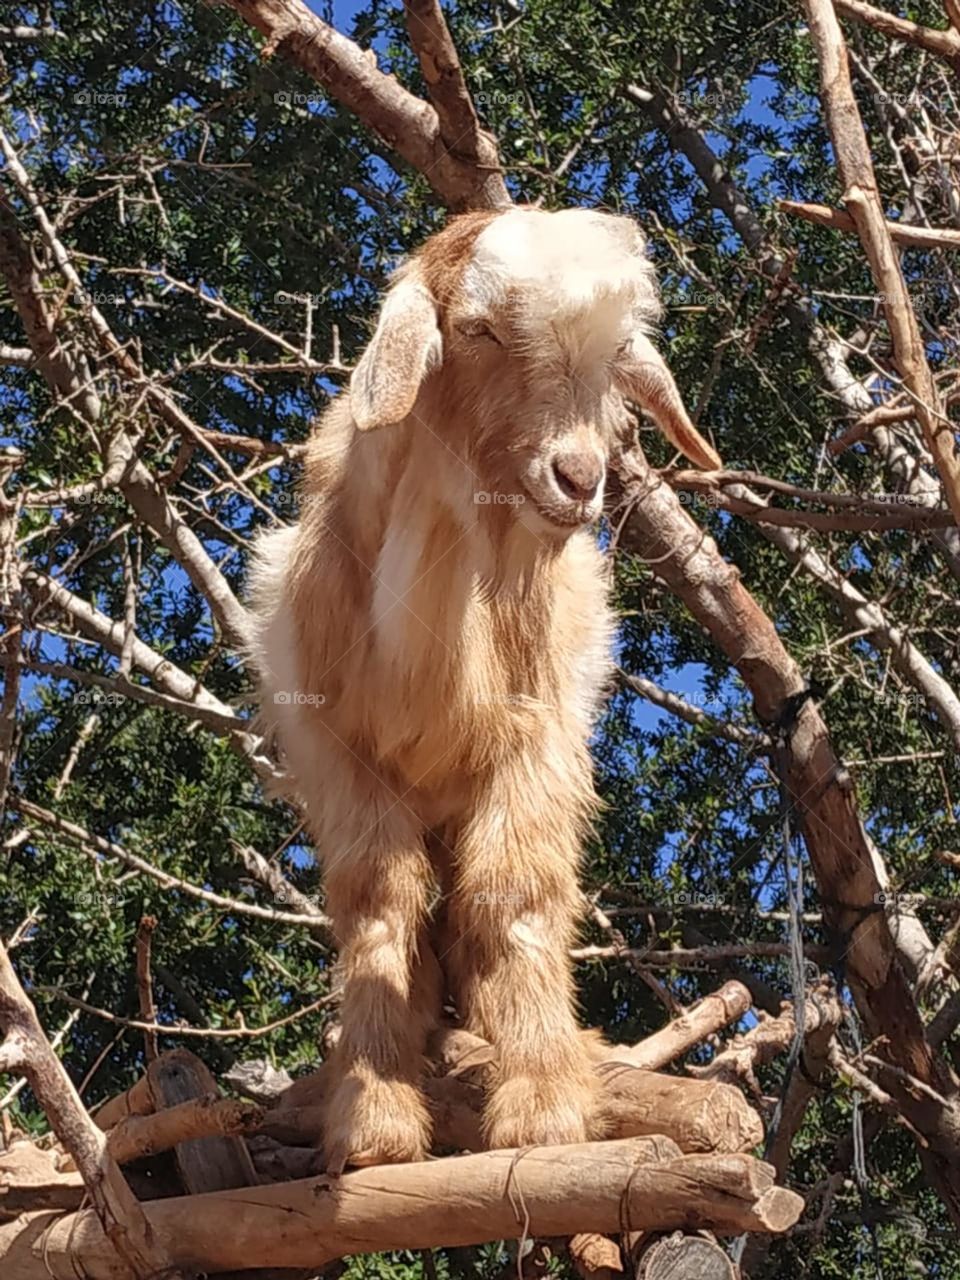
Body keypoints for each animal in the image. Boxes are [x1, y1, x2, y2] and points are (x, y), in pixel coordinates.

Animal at [250, 207, 720, 1172]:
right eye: (476, 330)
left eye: (618, 354)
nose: (578, 479)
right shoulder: (336, 752)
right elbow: (379, 904)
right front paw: (374, 1117)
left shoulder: (538, 740)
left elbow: (515, 896)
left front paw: (543, 1105)